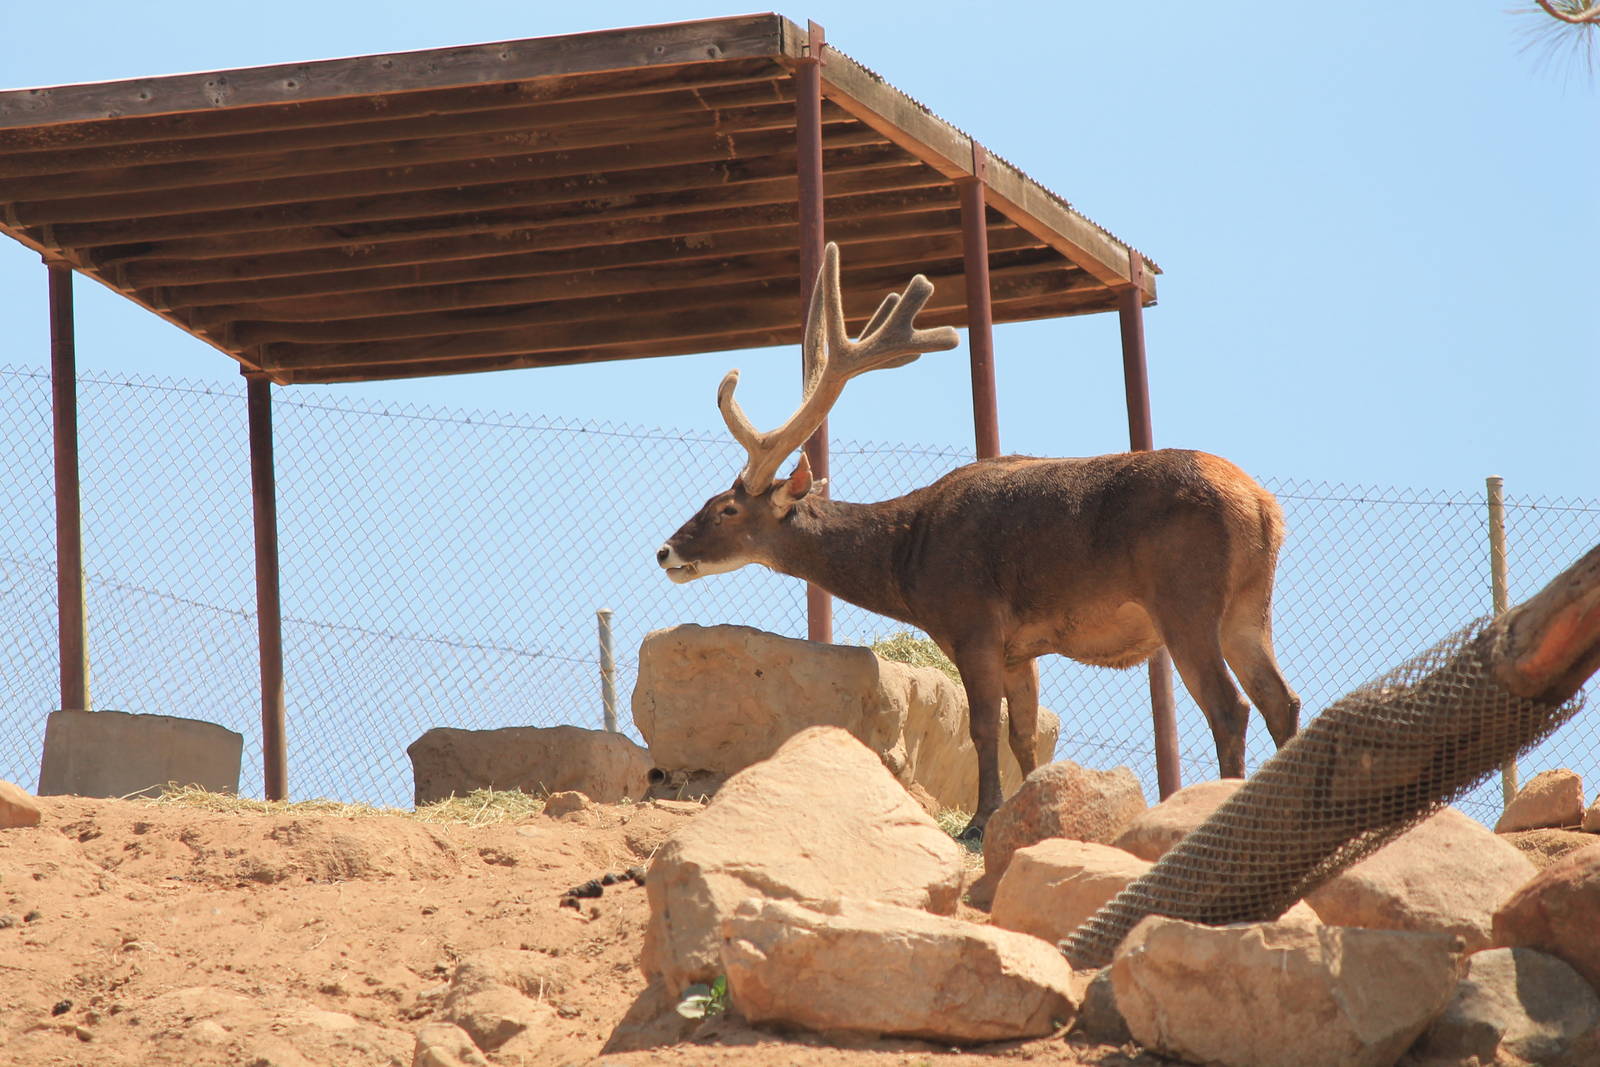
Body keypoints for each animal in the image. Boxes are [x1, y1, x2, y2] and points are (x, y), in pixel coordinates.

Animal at [656, 242, 1300, 839]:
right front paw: (1026, 806)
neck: (908, 562)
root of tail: (1263, 506)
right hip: (1248, 606)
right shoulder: (1022, 646)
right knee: (1280, 700)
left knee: (1230, 705)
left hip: (1185, 596)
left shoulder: (973, 621)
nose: (666, 550)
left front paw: (980, 819)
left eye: (726, 508)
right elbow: (1023, 732)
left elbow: (983, 725)